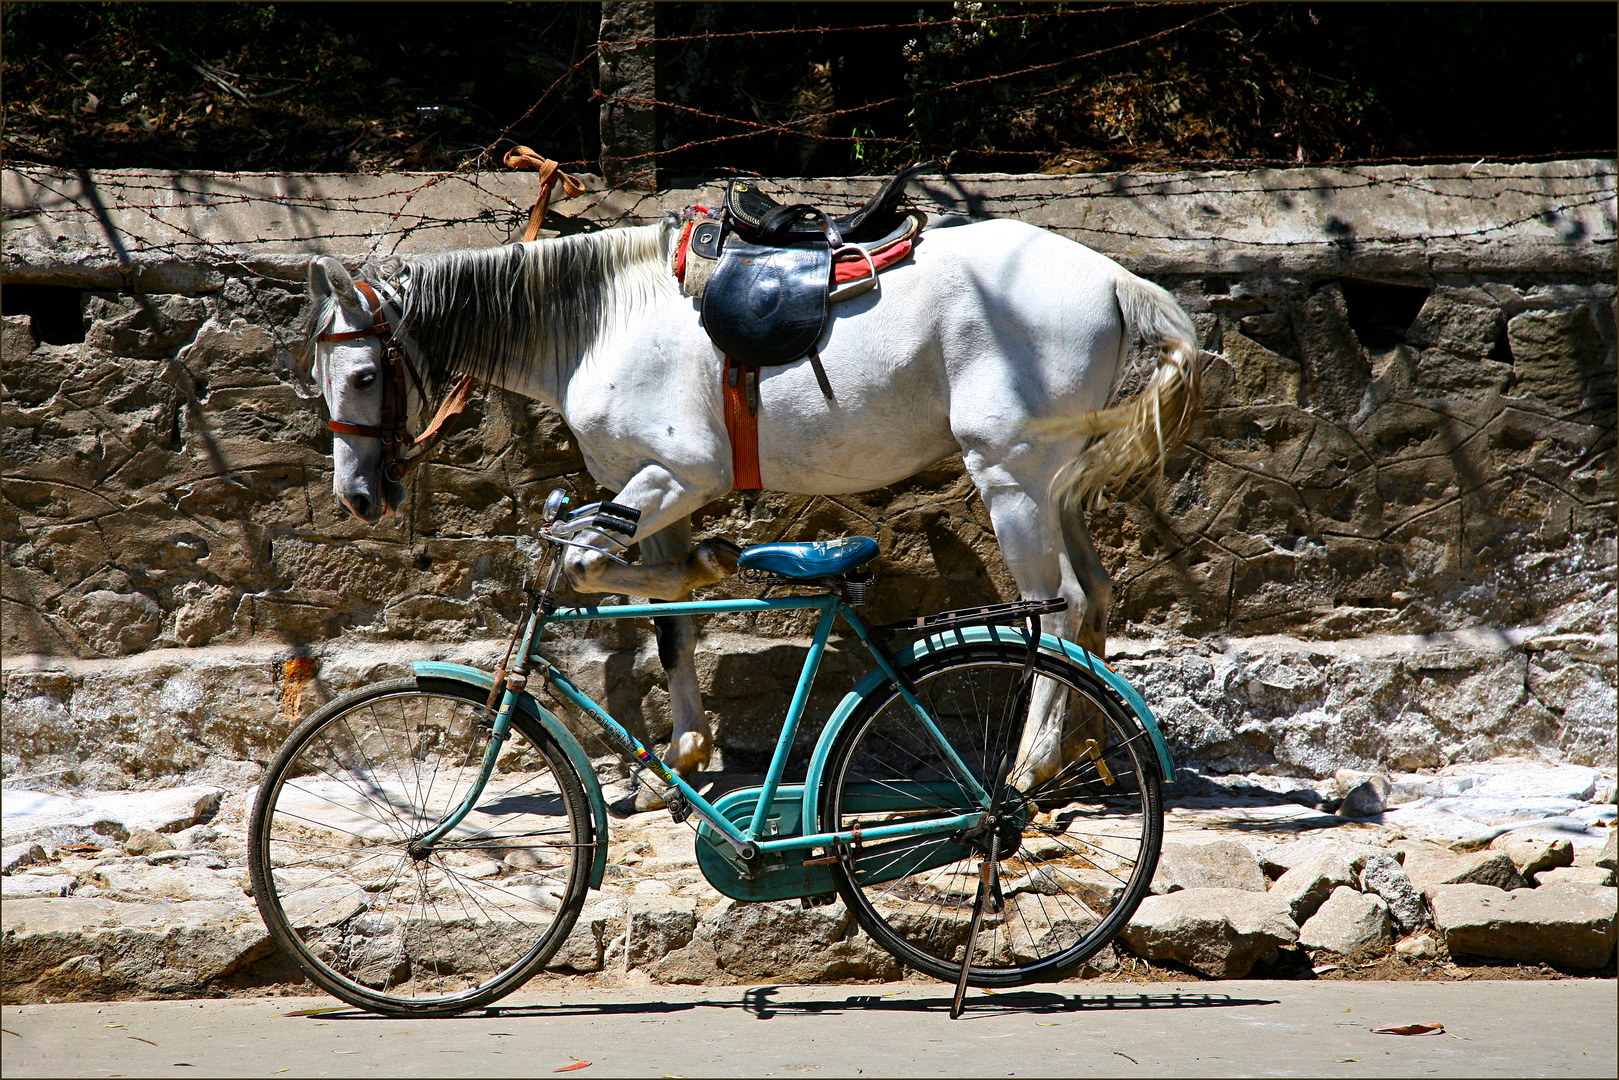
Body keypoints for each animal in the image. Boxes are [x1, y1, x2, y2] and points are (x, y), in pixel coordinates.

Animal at [294, 215, 1204, 809]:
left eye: (365, 375)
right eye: (318, 375)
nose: (358, 496)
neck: (598, 324)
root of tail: (1112, 277)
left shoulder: (678, 475)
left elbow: (593, 565)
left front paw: (699, 583)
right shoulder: (650, 487)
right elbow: (668, 622)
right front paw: (684, 751)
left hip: (1009, 479)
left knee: (1057, 611)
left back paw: (1032, 765)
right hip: (1055, 486)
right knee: (1094, 601)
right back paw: (1088, 747)